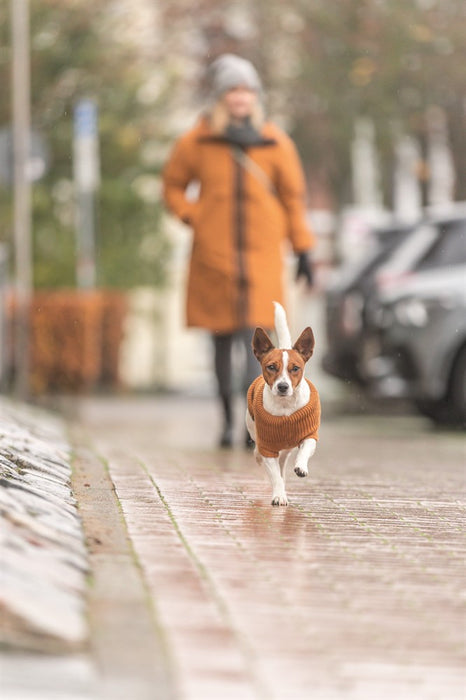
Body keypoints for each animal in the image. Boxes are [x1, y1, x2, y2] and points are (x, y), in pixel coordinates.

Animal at [248, 304, 320, 506]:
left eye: (295, 368)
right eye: (271, 367)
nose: (282, 386)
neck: (286, 406)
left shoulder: (310, 435)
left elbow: (305, 449)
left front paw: (301, 466)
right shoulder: (267, 448)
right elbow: (275, 476)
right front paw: (279, 495)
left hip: (286, 450)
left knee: (283, 461)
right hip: (253, 430)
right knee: (261, 454)